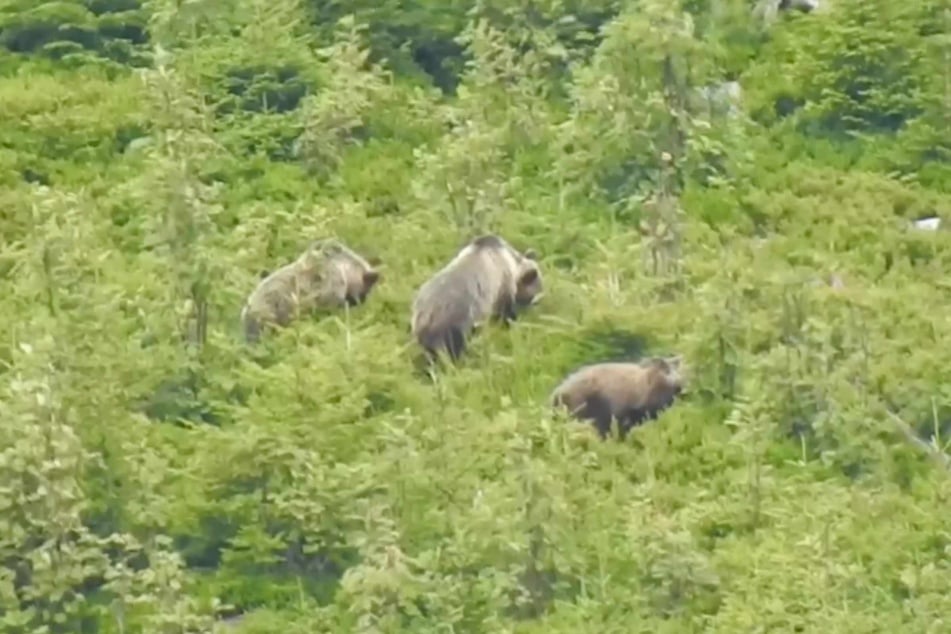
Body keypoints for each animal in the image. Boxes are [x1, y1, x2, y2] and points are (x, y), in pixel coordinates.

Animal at [410, 233, 544, 362]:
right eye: (535, 295)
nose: (536, 305)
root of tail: (425, 316)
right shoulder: (502, 284)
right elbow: (505, 311)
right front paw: (511, 323)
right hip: (454, 320)